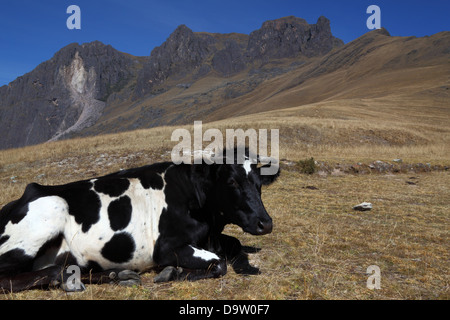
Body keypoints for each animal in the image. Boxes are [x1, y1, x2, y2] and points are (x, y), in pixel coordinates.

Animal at [0, 150, 280, 292]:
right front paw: (173, 272)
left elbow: (234, 244)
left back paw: (116, 275)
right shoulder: (166, 248)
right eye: (231, 181)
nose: (265, 223)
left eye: (259, 182)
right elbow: (218, 263)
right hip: (52, 209)